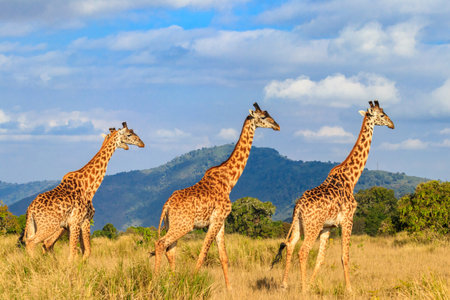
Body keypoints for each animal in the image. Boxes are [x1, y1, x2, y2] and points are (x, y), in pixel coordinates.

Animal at [20, 122, 144, 260]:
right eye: (129, 134)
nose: (142, 143)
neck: (88, 186)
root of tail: (30, 209)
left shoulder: (76, 224)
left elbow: (82, 251)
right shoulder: (81, 221)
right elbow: (78, 253)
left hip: (33, 226)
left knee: (36, 243)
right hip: (49, 226)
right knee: (33, 243)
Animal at [151, 102, 278, 288]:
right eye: (263, 117)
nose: (277, 126)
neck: (229, 181)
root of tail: (166, 205)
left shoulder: (221, 221)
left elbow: (223, 257)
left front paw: (229, 289)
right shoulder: (215, 220)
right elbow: (203, 254)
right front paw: (192, 283)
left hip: (171, 224)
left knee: (170, 250)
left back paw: (171, 282)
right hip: (183, 225)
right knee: (161, 244)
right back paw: (155, 282)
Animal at [270, 101, 394, 292]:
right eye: (381, 115)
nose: (392, 124)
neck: (351, 179)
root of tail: (299, 206)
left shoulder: (327, 227)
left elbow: (321, 259)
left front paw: (312, 285)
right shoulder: (348, 219)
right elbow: (345, 255)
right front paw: (349, 289)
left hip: (298, 224)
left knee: (290, 246)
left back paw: (284, 285)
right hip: (312, 227)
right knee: (303, 251)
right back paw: (302, 288)